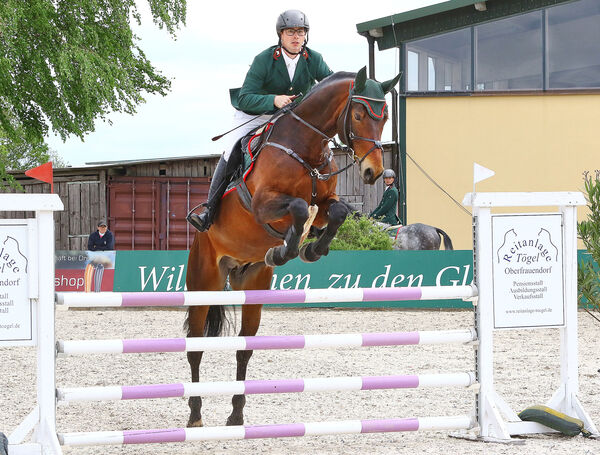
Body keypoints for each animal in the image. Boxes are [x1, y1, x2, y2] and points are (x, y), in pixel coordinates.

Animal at [183, 67, 398, 428]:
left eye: (384, 118)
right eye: (358, 114)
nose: (373, 172)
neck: (305, 149)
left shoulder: (327, 202)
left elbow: (337, 212)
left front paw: (309, 249)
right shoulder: (262, 205)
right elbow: (298, 208)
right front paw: (287, 249)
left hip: (252, 285)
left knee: (244, 348)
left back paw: (236, 415)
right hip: (203, 282)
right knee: (195, 347)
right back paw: (196, 415)